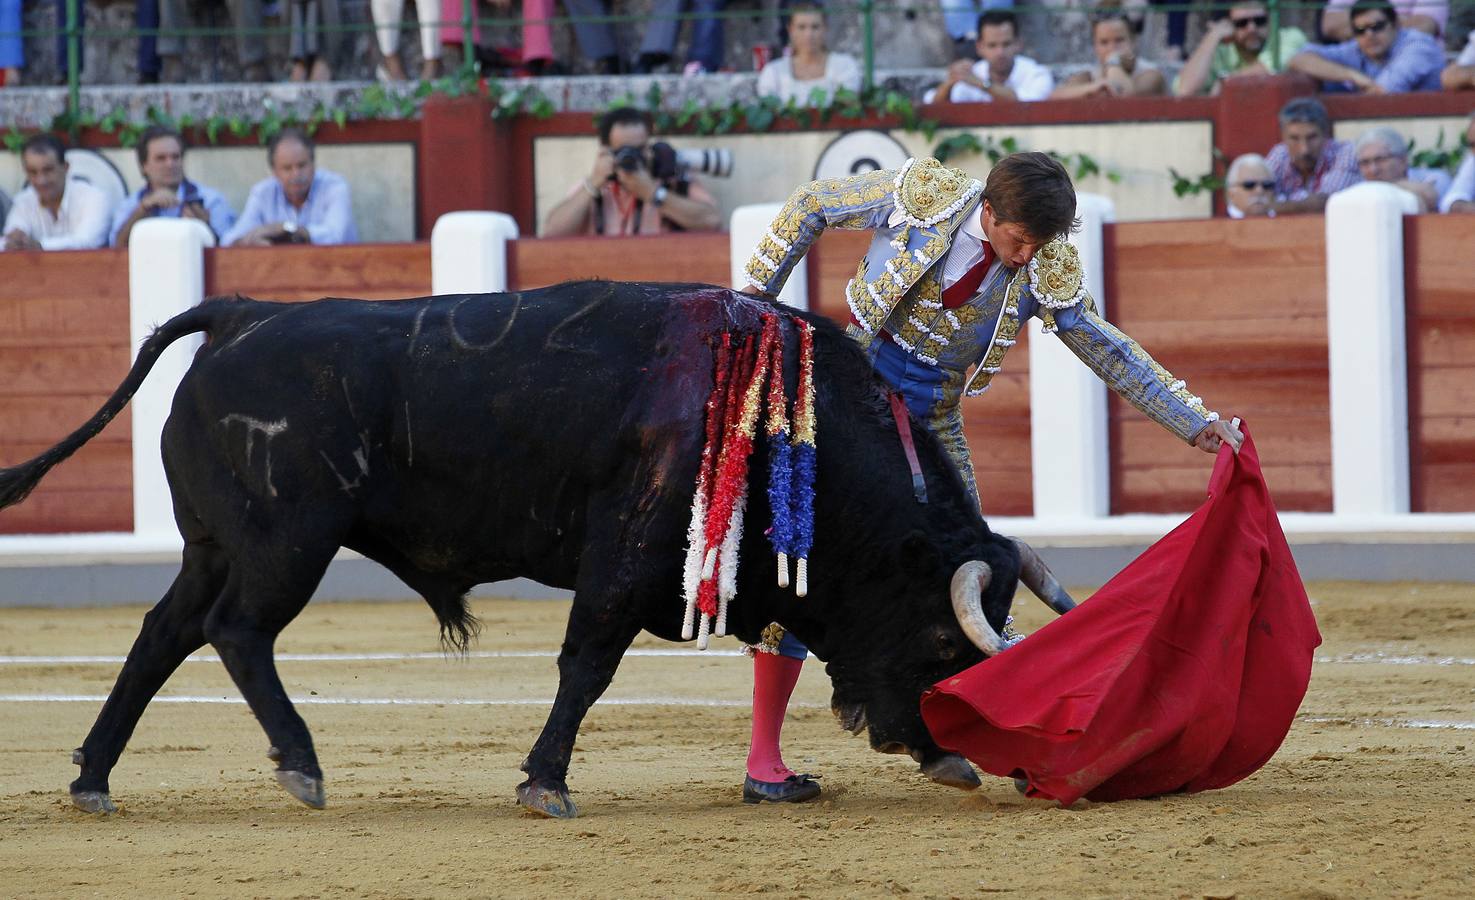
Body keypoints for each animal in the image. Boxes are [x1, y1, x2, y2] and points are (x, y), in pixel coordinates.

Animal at [0, 280, 1067, 814]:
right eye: (941, 642)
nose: (945, 749)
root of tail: (239, 316)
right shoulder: (626, 559)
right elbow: (586, 665)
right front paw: (544, 783)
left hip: (214, 543)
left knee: (161, 634)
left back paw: (93, 779)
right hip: (284, 541)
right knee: (235, 632)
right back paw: (300, 766)